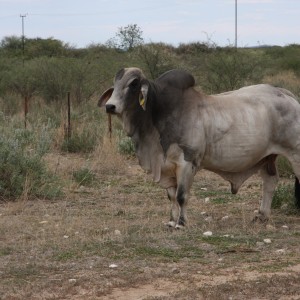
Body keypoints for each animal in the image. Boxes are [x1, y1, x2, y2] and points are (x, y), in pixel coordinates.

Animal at [98, 67, 300, 227]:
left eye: (133, 84)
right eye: (115, 83)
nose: (110, 106)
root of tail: (286, 94)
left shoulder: (186, 163)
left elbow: (181, 196)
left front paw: (181, 223)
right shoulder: (167, 167)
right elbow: (171, 197)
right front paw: (171, 221)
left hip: (295, 154)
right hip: (267, 158)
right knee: (270, 182)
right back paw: (262, 216)